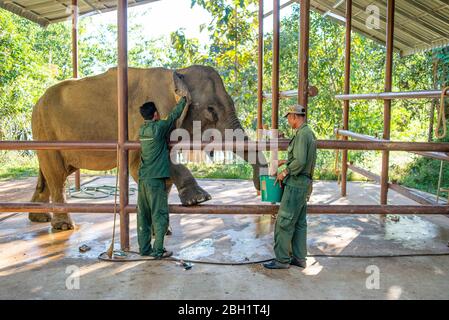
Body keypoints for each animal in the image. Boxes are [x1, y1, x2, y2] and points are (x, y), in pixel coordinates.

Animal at [29, 65, 268, 230]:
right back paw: (62, 226)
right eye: (210, 110)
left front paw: (163, 229)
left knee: (52, 173)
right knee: (57, 175)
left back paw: (39, 217)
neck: (177, 72)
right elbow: (143, 165)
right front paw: (200, 199)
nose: (260, 186)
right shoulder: (137, 124)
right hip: (46, 131)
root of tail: (37, 101)